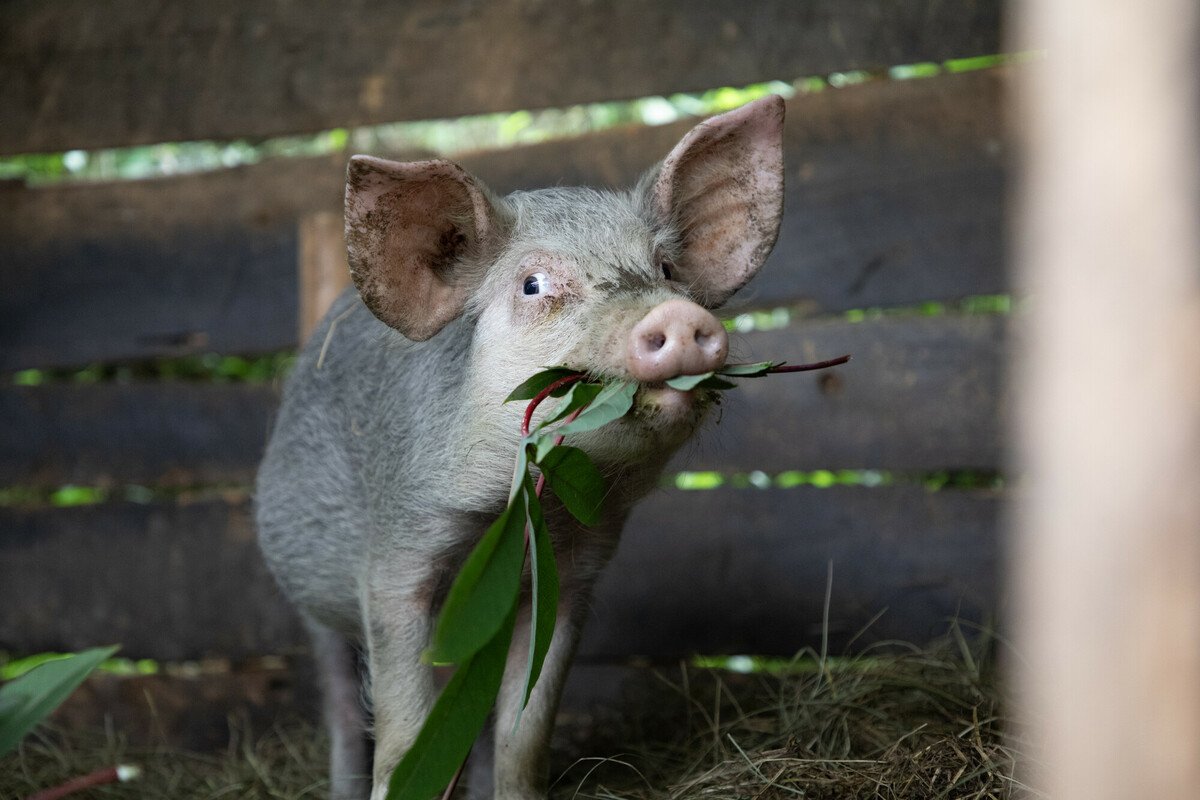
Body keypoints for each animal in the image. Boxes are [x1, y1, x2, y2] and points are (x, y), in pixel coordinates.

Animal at [255, 95, 784, 800]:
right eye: (533, 284)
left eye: (668, 270)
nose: (676, 314)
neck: (519, 510)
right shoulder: (396, 554)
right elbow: (402, 724)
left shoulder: (572, 574)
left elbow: (524, 732)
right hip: (313, 606)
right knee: (342, 705)